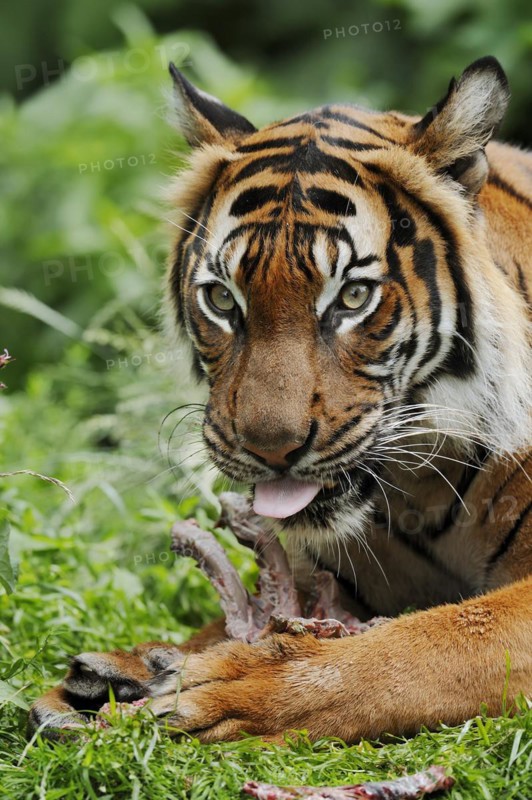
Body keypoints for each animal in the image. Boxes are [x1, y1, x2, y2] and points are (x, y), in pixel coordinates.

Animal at [30, 56, 532, 745]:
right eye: (222, 299)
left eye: (353, 297)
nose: (271, 450)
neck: (423, 491)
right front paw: (119, 670)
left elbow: (422, 643)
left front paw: (227, 685)